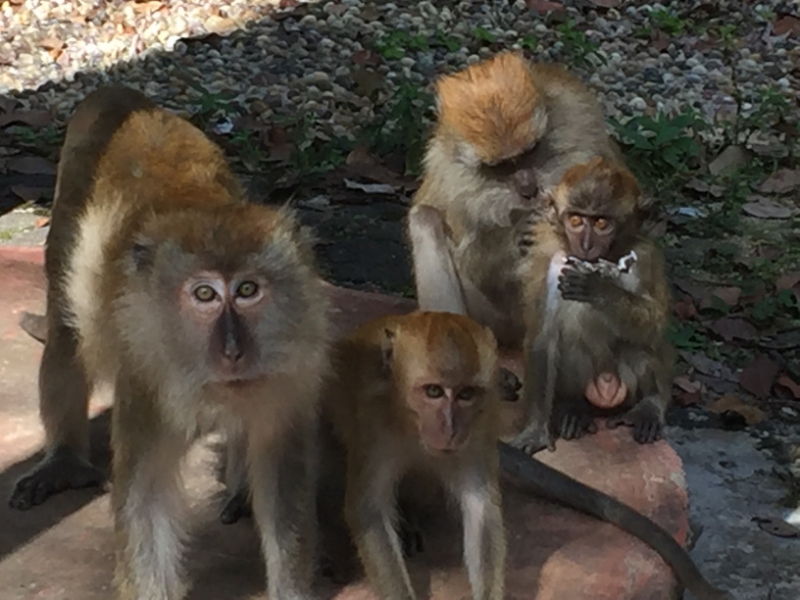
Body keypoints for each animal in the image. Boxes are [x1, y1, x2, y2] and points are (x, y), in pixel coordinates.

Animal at [10, 86, 331, 600]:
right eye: (204, 295)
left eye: (247, 290)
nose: (232, 350)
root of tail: (123, 97)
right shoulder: (146, 382)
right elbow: (147, 507)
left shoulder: (291, 375)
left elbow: (283, 490)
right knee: (66, 331)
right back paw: (64, 460)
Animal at [319, 311, 728, 600]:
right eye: (433, 391)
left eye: (466, 394)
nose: (450, 427)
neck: (410, 422)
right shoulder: (374, 427)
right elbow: (369, 511)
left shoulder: (480, 425)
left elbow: (481, 511)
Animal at [512, 156, 674, 455]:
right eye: (576, 219)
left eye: (601, 223)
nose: (586, 245)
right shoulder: (552, 264)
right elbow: (543, 336)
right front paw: (535, 430)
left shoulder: (646, 257)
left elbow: (656, 324)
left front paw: (600, 289)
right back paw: (572, 408)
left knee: (641, 347)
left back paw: (650, 404)